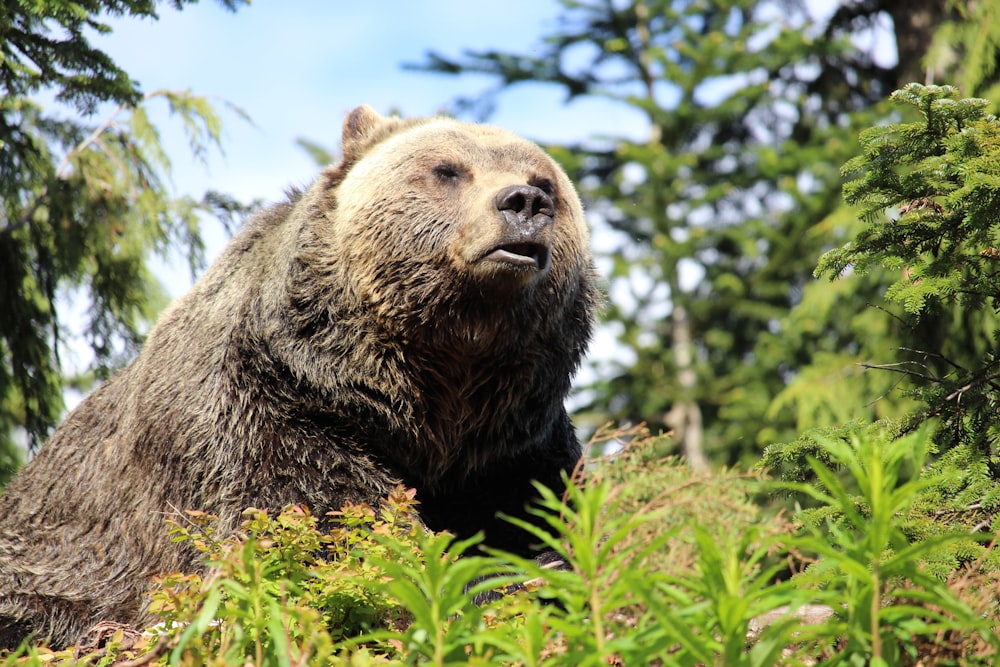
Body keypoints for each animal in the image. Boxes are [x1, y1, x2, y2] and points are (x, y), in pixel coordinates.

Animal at [0, 107, 596, 648]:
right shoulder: (271, 410)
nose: (524, 201)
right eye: (447, 170)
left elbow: (546, 521)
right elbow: (329, 523)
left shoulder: (513, 448)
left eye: (546, 182)